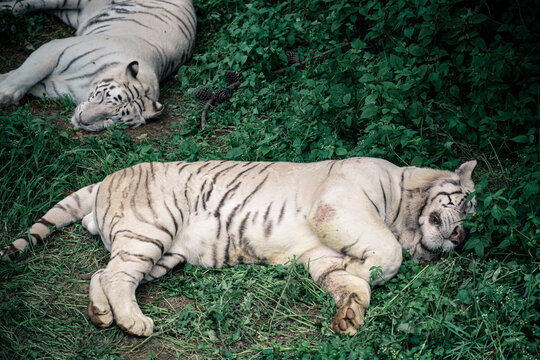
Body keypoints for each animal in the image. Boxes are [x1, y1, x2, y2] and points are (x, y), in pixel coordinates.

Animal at [0, 0, 197, 131]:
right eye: (103, 97)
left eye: (113, 117)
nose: (82, 119)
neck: (84, 87)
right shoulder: (55, 48)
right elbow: (26, 73)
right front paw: (4, 93)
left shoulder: (49, 86)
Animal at [3, 158, 476, 338]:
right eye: (466, 204)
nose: (461, 238)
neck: (404, 209)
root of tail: (107, 178)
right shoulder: (338, 205)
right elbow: (386, 253)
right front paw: (361, 267)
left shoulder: (318, 255)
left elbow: (347, 282)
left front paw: (349, 314)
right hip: (149, 231)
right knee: (117, 275)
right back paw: (134, 323)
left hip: (160, 254)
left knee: (103, 272)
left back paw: (101, 315)